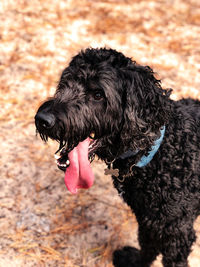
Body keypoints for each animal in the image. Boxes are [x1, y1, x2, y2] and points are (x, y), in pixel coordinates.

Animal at [34, 48, 200, 267]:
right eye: (64, 84)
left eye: (97, 94)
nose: (42, 120)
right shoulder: (148, 218)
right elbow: (147, 246)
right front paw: (136, 261)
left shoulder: (176, 232)